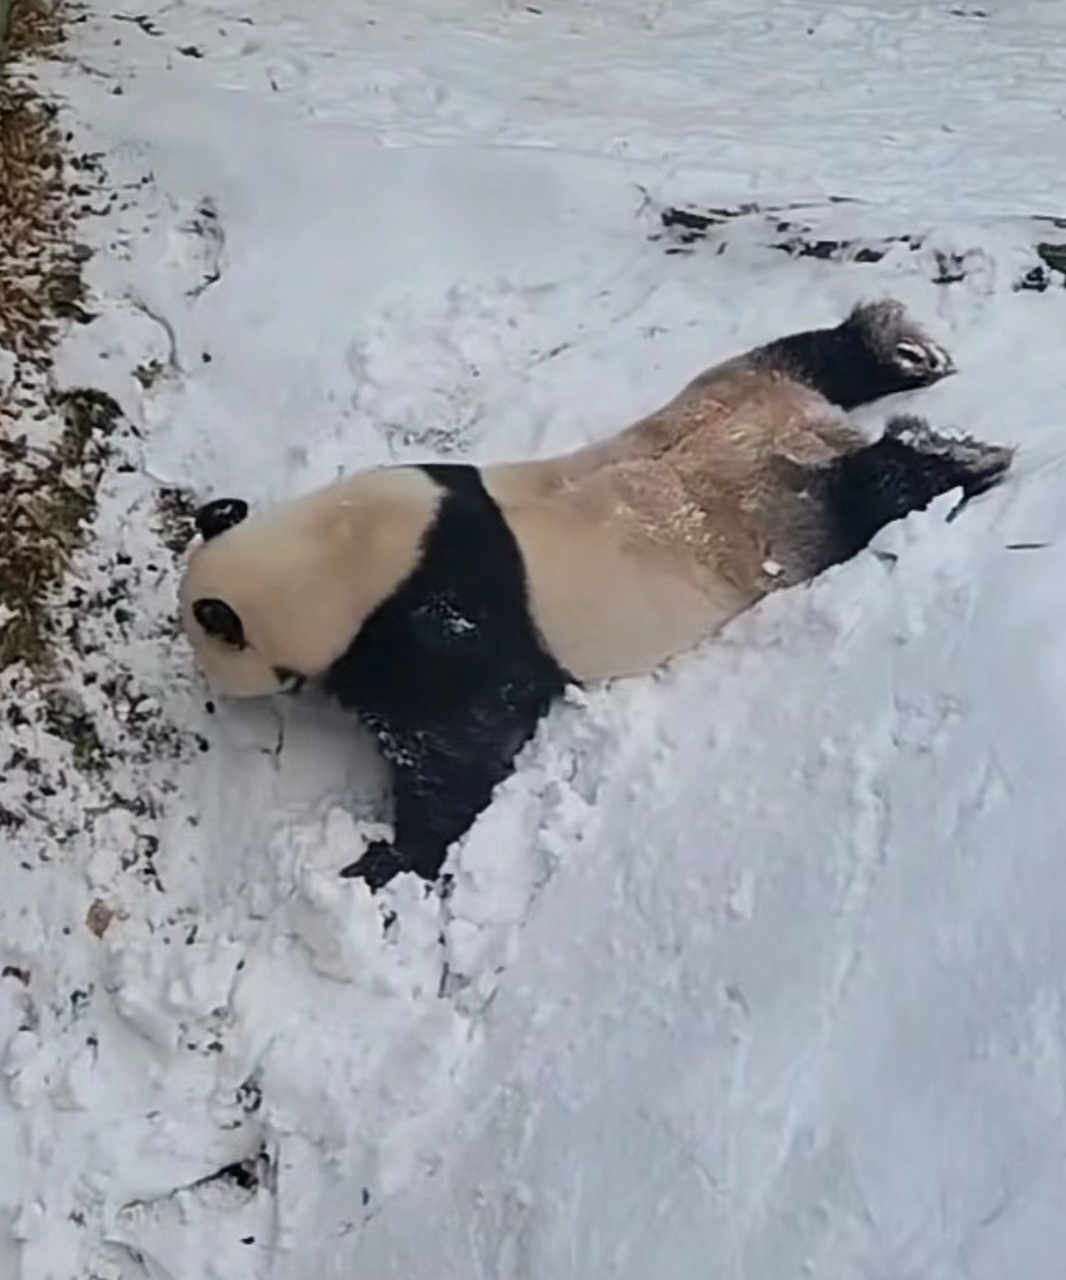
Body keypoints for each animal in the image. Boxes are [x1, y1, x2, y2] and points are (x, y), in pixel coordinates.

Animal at [179, 302, 1008, 890]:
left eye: (207, 657)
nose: (213, 699)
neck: (332, 557)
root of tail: (806, 426)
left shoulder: (436, 625)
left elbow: (461, 747)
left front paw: (382, 862)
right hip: (730, 388)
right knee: (806, 352)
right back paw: (901, 352)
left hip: (776, 511)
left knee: (863, 494)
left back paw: (953, 457)